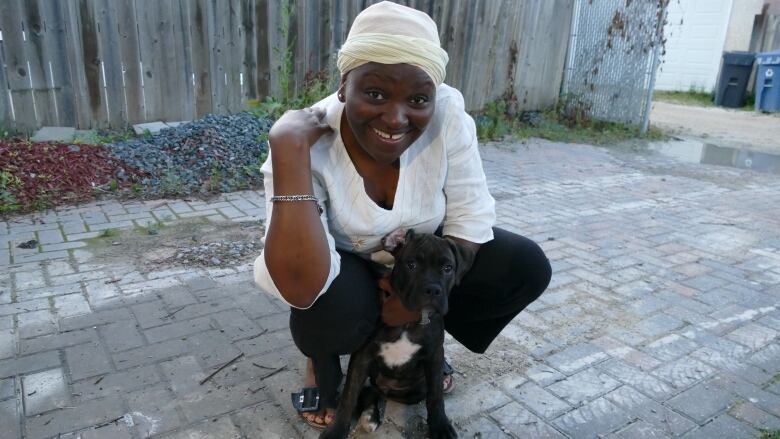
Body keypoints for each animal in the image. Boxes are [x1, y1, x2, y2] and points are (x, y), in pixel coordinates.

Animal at [318, 230, 476, 439]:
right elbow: (349, 395)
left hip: (416, 388)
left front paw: (441, 426)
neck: (408, 321)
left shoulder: (434, 356)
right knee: (369, 391)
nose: (433, 289)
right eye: (412, 265)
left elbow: (435, 396)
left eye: (448, 268)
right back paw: (371, 415)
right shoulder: (362, 356)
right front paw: (336, 430)